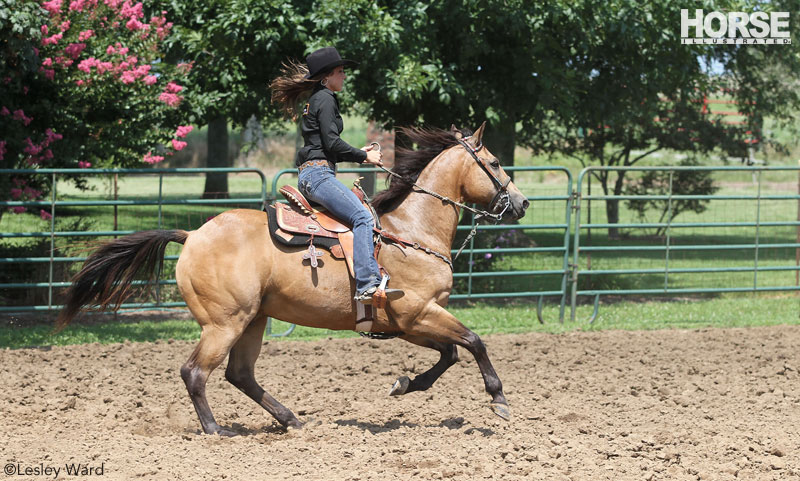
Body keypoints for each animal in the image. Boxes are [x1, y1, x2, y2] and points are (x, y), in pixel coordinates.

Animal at [57, 121, 532, 436]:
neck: (411, 231)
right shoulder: (418, 312)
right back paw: (216, 431)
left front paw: (403, 385)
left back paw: (291, 419)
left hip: (254, 320)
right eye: (494, 162)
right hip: (224, 323)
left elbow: (449, 354)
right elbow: (473, 342)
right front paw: (499, 400)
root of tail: (192, 235)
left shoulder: (407, 323)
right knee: (195, 372)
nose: (522, 202)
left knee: (240, 376)